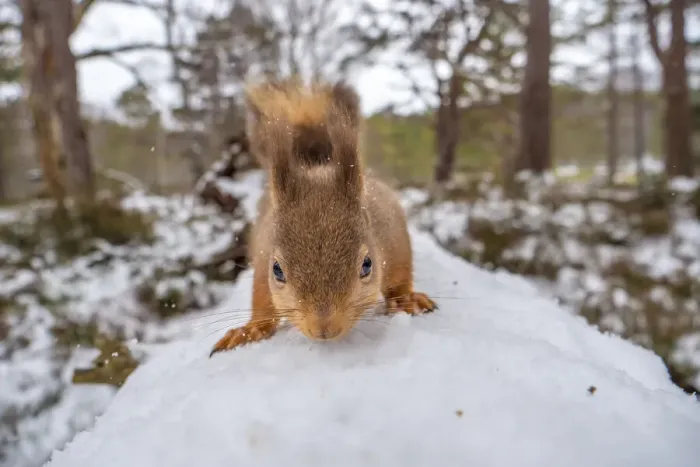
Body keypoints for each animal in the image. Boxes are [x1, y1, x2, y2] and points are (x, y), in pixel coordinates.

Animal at [209, 79, 437, 356]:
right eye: (277, 271)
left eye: (367, 264)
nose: (324, 329)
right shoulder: (263, 253)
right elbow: (261, 297)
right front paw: (251, 329)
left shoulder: (392, 232)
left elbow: (399, 277)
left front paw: (405, 300)